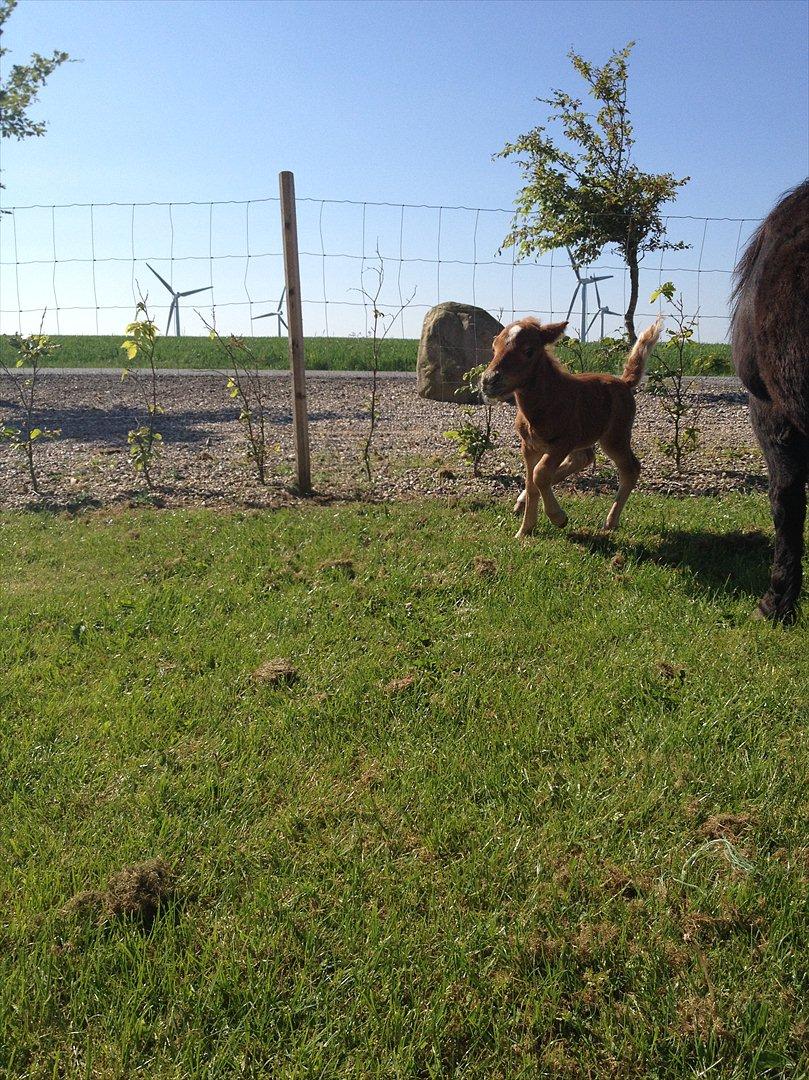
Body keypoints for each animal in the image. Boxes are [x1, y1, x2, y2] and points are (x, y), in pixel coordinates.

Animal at [483, 317, 661, 537]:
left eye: (529, 350)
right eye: (494, 347)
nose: (488, 381)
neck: (544, 403)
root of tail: (624, 382)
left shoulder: (562, 443)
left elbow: (540, 474)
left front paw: (558, 518)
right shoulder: (529, 447)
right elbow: (532, 483)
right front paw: (525, 531)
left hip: (614, 437)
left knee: (631, 468)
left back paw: (610, 522)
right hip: (585, 436)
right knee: (584, 458)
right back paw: (522, 502)